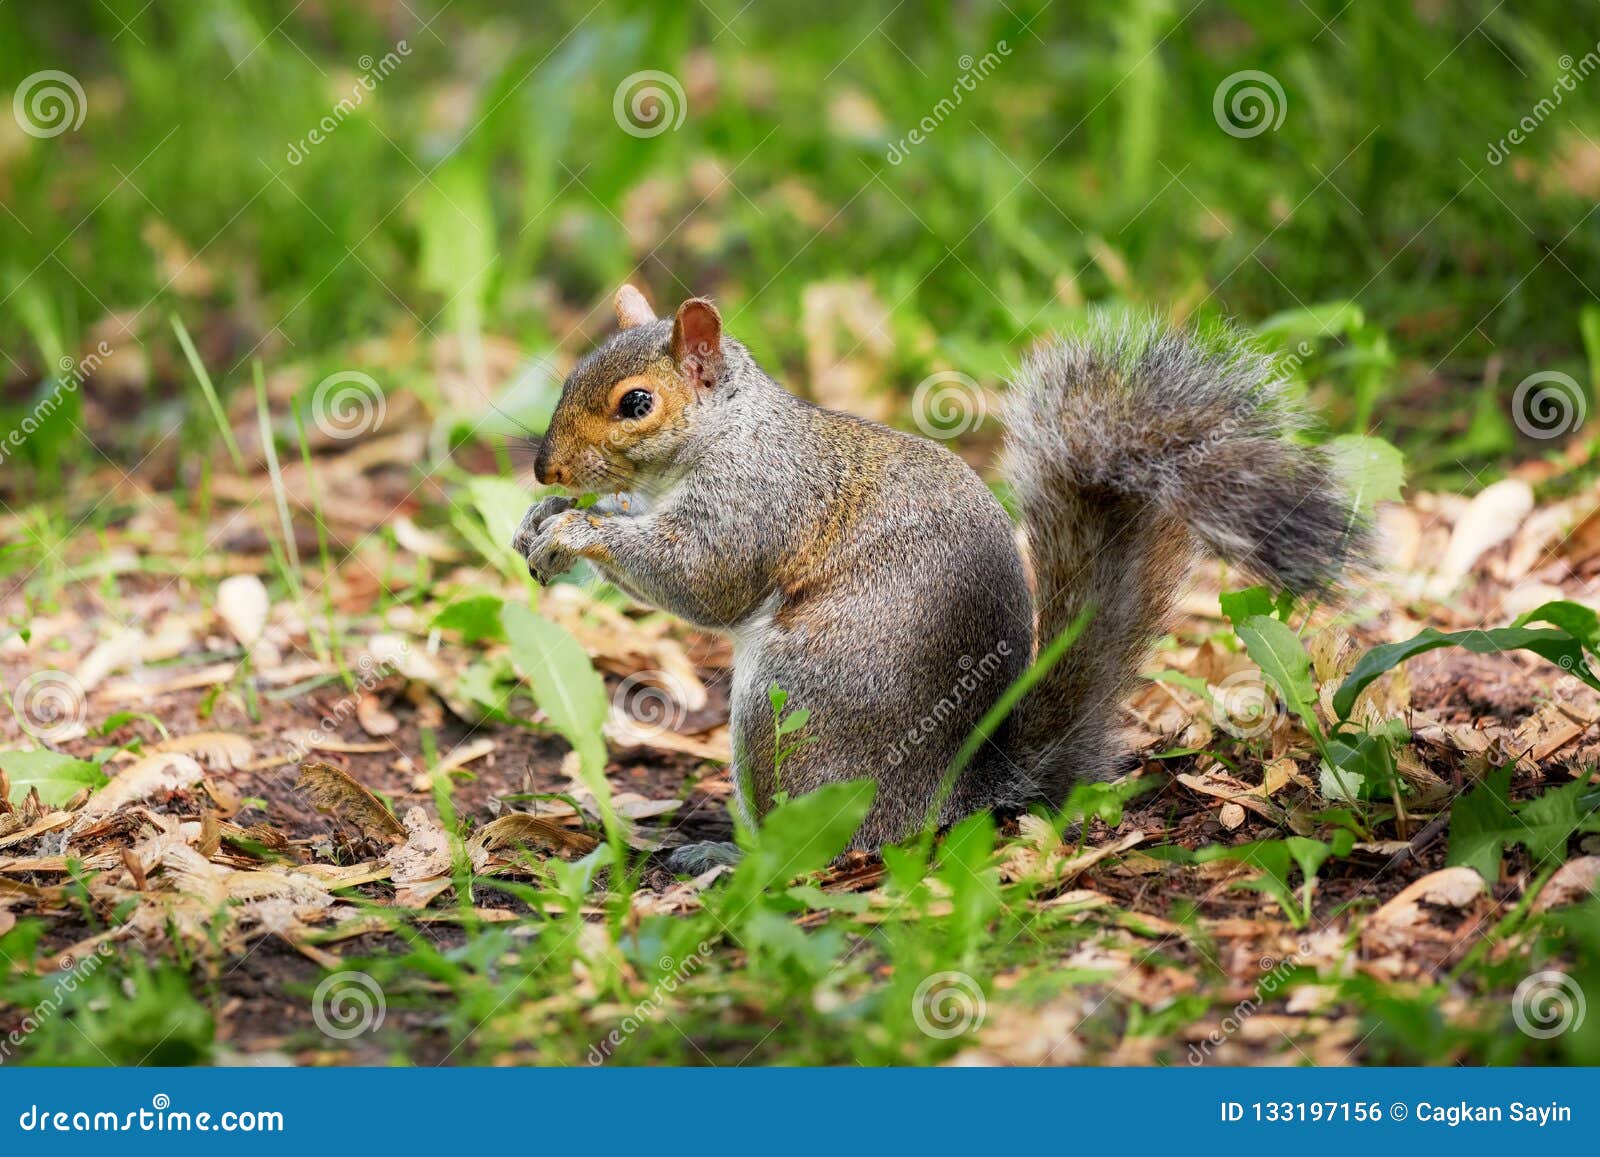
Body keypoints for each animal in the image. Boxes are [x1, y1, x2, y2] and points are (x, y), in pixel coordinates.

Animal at [513, 284, 1368, 870]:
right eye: (572, 376)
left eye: (636, 403)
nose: (545, 467)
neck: (728, 433)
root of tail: (963, 789)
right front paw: (544, 516)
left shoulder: (760, 500)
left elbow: (703, 578)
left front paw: (580, 529)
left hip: (791, 708)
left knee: (826, 844)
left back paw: (732, 858)